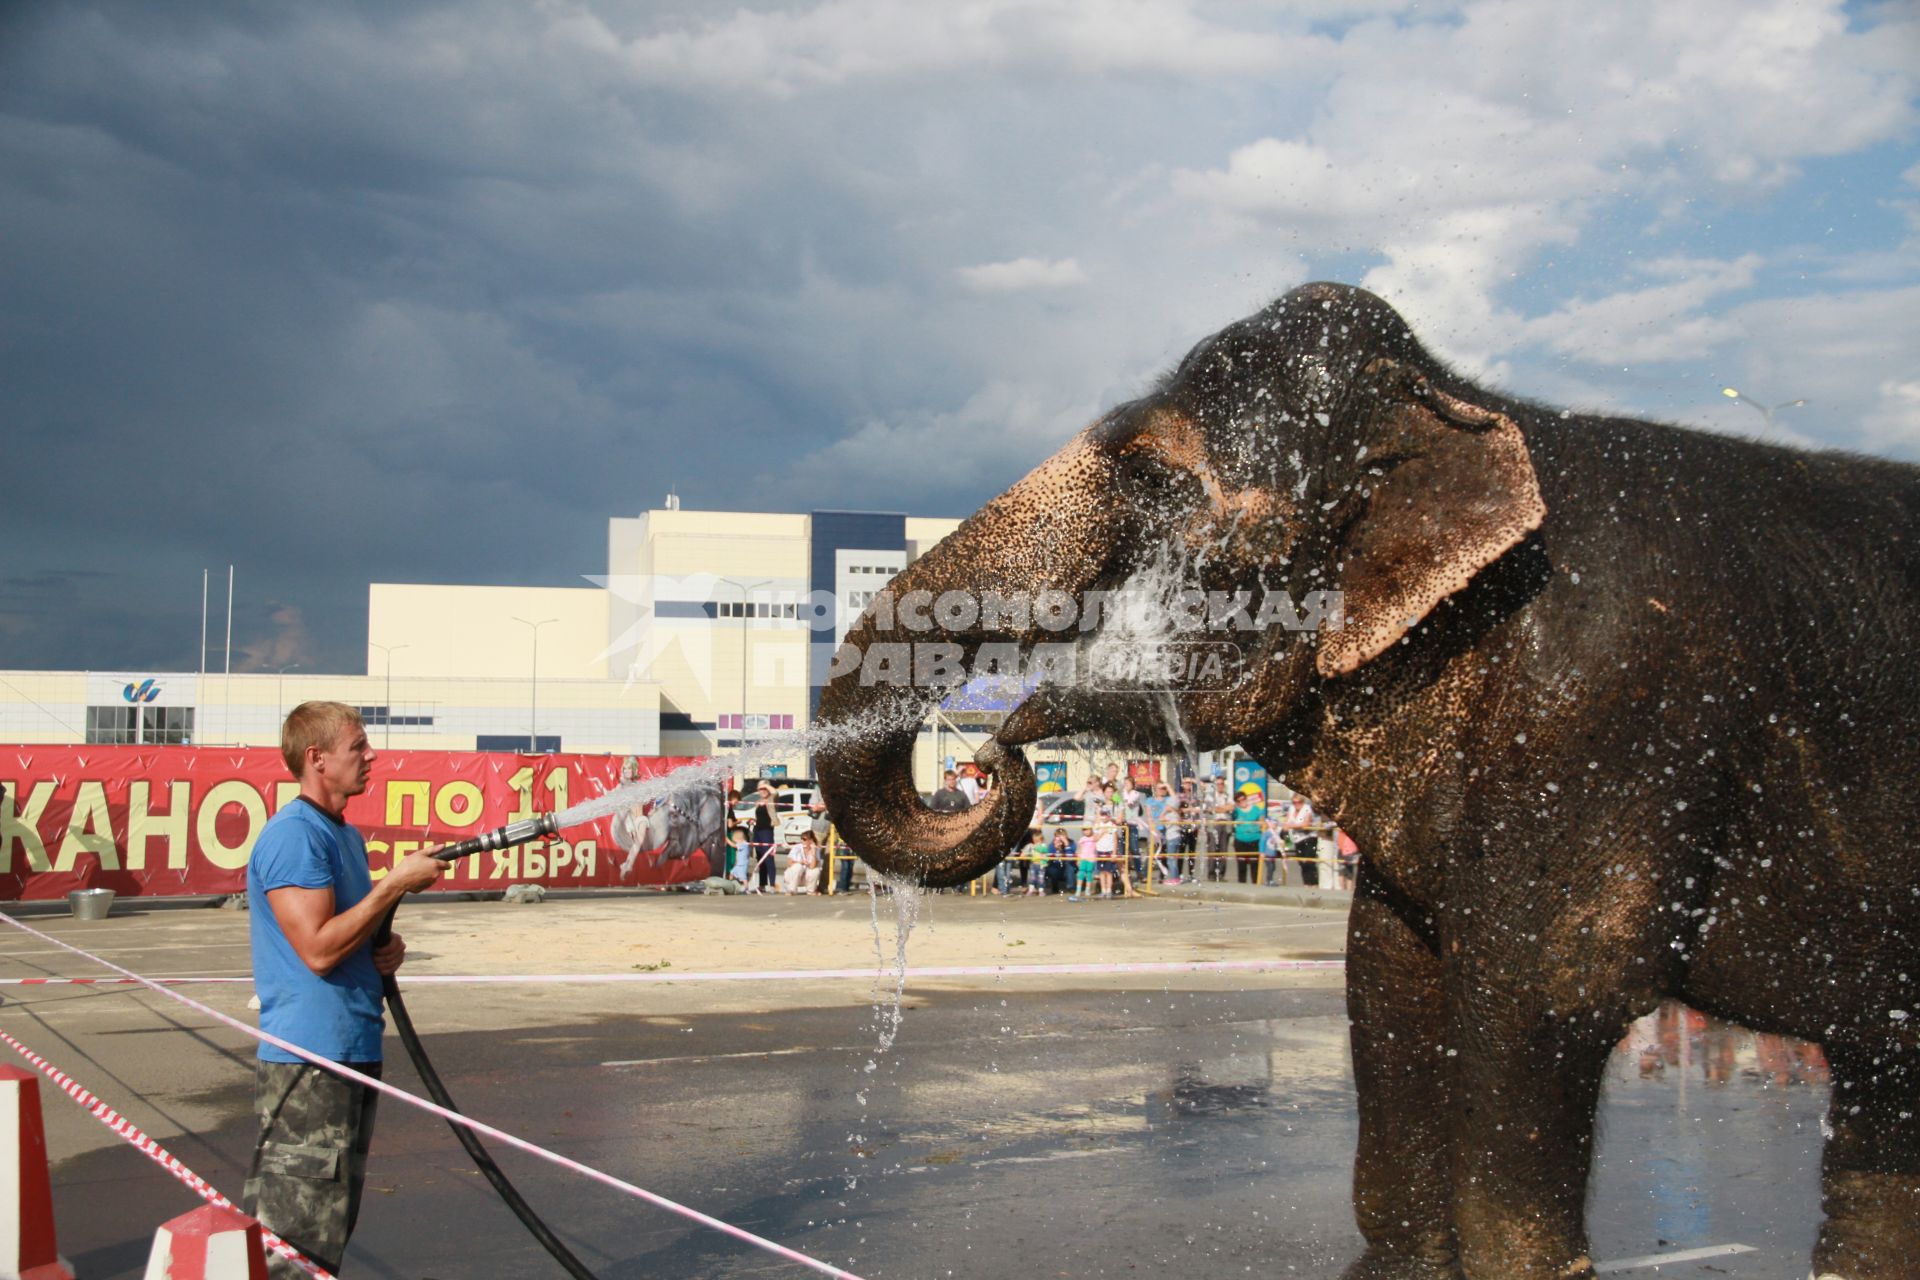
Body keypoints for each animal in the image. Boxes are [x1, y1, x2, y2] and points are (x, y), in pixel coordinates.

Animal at [810, 282, 1920, 1280]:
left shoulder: (1609, 710)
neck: (1463, 409)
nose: (989, 755)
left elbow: (1541, 1000)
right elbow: (1386, 978)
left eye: (1161, 480)